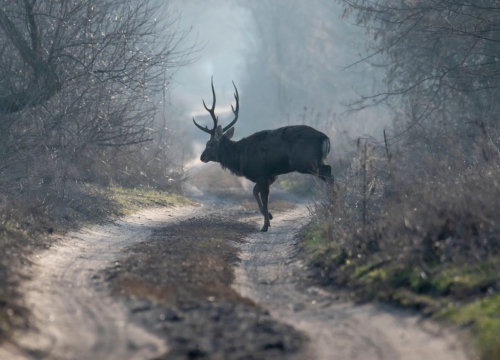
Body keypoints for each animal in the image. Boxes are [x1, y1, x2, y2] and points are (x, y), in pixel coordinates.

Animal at [194, 79, 332, 232]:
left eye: (209, 144)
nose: (202, 157)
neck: (239, 157)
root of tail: (325, 138)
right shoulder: (271, 176)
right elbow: (255, 192)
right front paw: (270, 217)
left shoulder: (260, 173)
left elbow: (262, 197)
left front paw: (265, 225)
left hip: (307, 162)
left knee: (328, 172)